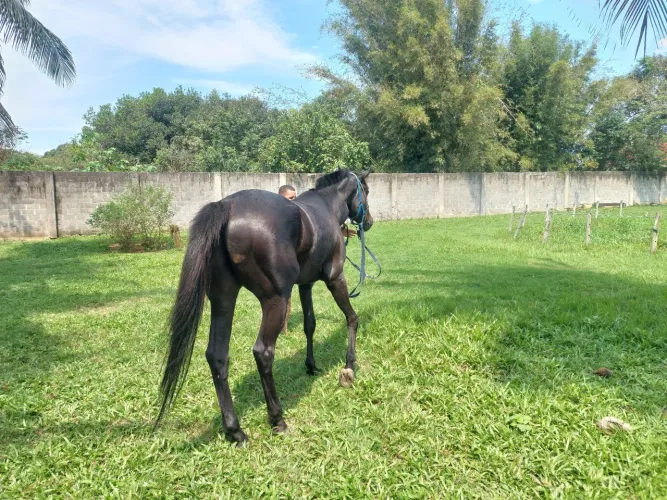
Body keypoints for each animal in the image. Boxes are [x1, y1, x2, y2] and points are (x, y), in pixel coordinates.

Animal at [155, 169, 374, 446]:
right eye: (366, 191)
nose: (369, 221)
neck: (326, 207)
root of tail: (226, 206)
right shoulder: (335, 278)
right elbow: (351, 318)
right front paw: (349, 366)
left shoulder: (305, 285)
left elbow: (309, 325)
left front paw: (311, 365)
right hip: (275, 300)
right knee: (263, 352)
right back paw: (277, 418)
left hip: (223, 300)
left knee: (217, 356)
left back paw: (235, 431)